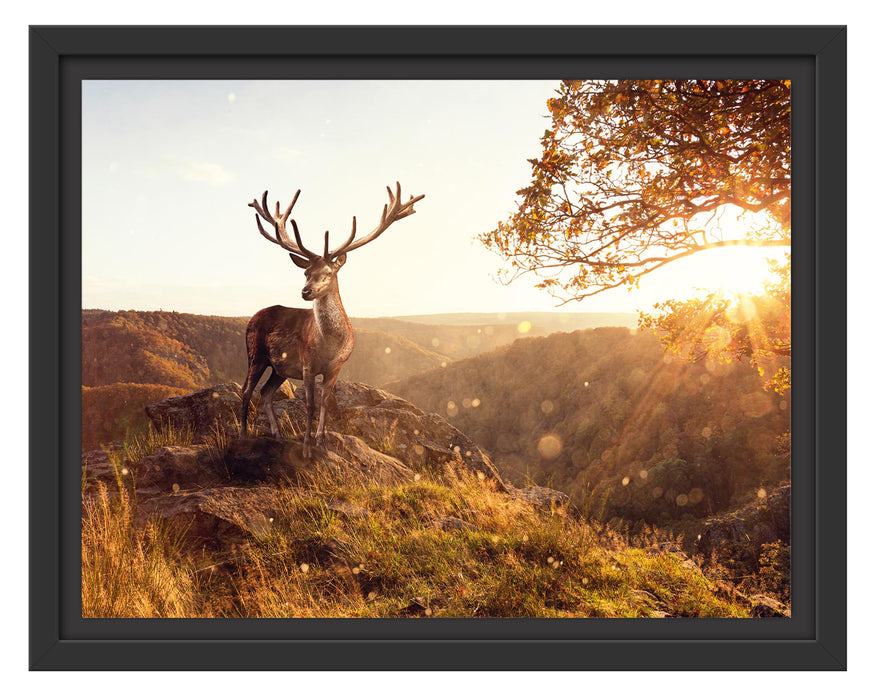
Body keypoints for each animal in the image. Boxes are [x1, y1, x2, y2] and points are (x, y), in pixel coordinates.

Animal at [240, 182, 425, 458]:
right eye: (305, 272)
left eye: (328, 272)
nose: (305, 291)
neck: (329, 344)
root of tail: (251, 319)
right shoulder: (307, 363)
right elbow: (310, 404)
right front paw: (306, 447)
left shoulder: (336, 367)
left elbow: (326, 403)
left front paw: (321, 442)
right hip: (256, 353)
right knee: (246, 390)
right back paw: (241, 436)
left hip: (280, 367)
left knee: (265, 391)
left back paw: (277, 435)